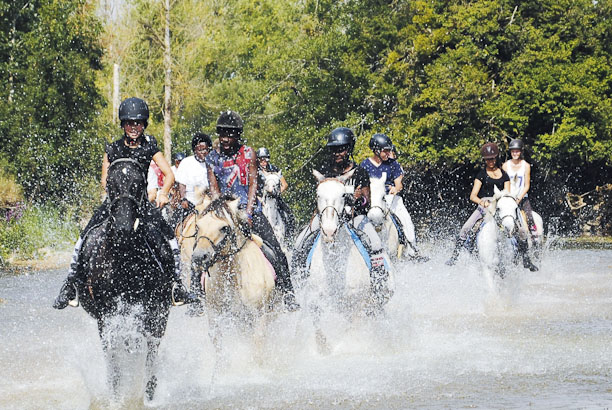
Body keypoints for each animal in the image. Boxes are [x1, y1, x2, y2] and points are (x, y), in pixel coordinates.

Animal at [75, 159, 175, 402]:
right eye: (110, 184)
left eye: (138, 185)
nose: (123, 227)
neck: (125, 258)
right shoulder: (106, 315)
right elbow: (113, 354)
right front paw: (116, 395)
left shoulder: (152, 310)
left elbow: (145, 347)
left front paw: (146, 393)